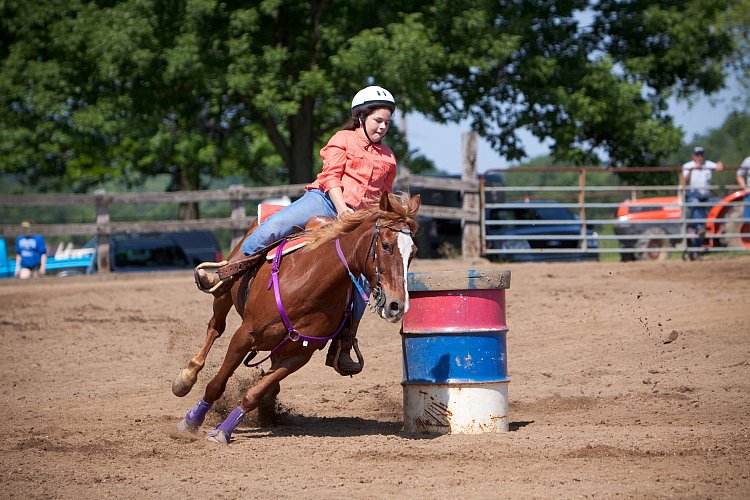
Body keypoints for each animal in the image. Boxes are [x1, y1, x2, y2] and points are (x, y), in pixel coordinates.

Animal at [175, 191, 424, 446]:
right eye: (385, 245)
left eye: (412, 253)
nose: (397, 305)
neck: (310, 284)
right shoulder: (244, 335)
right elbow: (216, 384)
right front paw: (191, 421)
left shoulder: (299, 355)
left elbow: (254, 393)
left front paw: (224, 430)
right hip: (224, 296)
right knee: (215, 327)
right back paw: (186, 377)